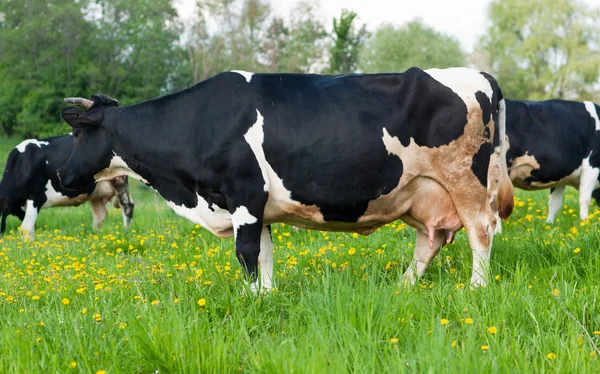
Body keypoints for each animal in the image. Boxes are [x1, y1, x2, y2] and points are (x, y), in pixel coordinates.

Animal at [0, 134, 135, 240]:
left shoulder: (36, 196)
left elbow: (26, 228)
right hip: (96, 192)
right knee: (100, 215)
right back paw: (94, 236)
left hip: (119, 179)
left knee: (127, 206)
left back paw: (125, 232)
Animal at [58, 66, 512, 290]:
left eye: (77, 134)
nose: (61, 174)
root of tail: (480, 75)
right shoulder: (254, 206)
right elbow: (263, 253)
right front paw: (266, 295)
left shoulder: (243, 192)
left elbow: (245, 253)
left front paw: (248, 297)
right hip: (423, 191)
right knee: (431, 239)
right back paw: (403, 286)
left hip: (464, 180)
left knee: (481, 230)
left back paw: (476, 288)